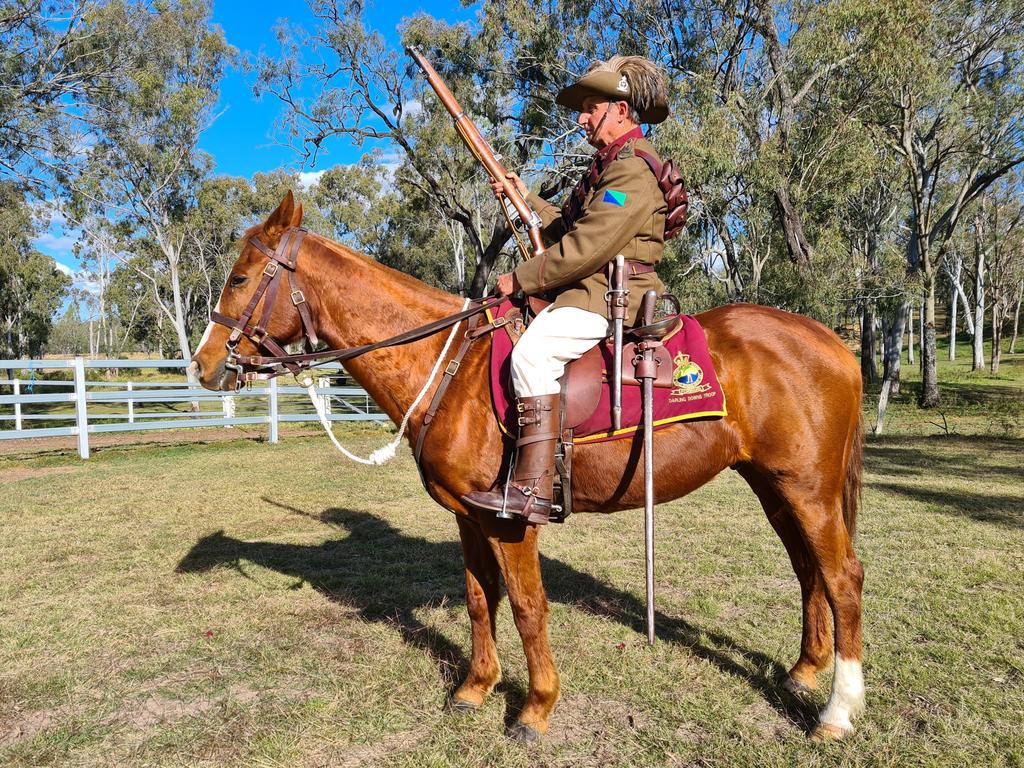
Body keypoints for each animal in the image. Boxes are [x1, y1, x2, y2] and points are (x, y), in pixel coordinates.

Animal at [192, 193, 864, 745]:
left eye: (240, 277)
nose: (202, 365)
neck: (447, 366)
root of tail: (836, 341)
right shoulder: (468, 516)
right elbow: (478, 599)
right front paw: (475, 688)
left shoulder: (511, 521)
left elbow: (526, 606)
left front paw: (536, 708)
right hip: (775, 487)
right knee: (807, 570)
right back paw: (805, 671)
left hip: (809, 490)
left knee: (842, 578)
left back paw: (837, 712)